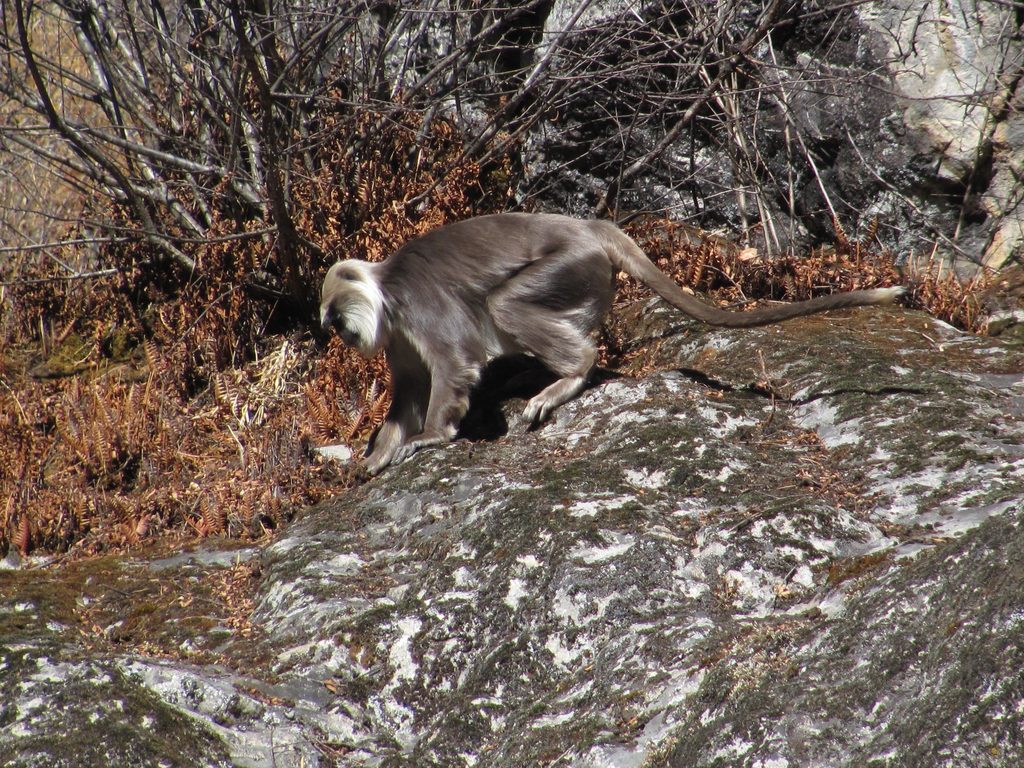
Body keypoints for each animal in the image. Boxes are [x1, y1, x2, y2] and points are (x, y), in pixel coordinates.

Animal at [321, 211, 905, 475]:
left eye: (336, 318)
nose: (340, 334)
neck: (384, 287)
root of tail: (590, 228)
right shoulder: (398, 333)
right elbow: (408, 392)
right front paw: (375, 459)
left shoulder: (415, 305)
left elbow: (455, 362)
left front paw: (431, 438)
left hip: (570, 266)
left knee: (505, 306)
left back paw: (572, 374)